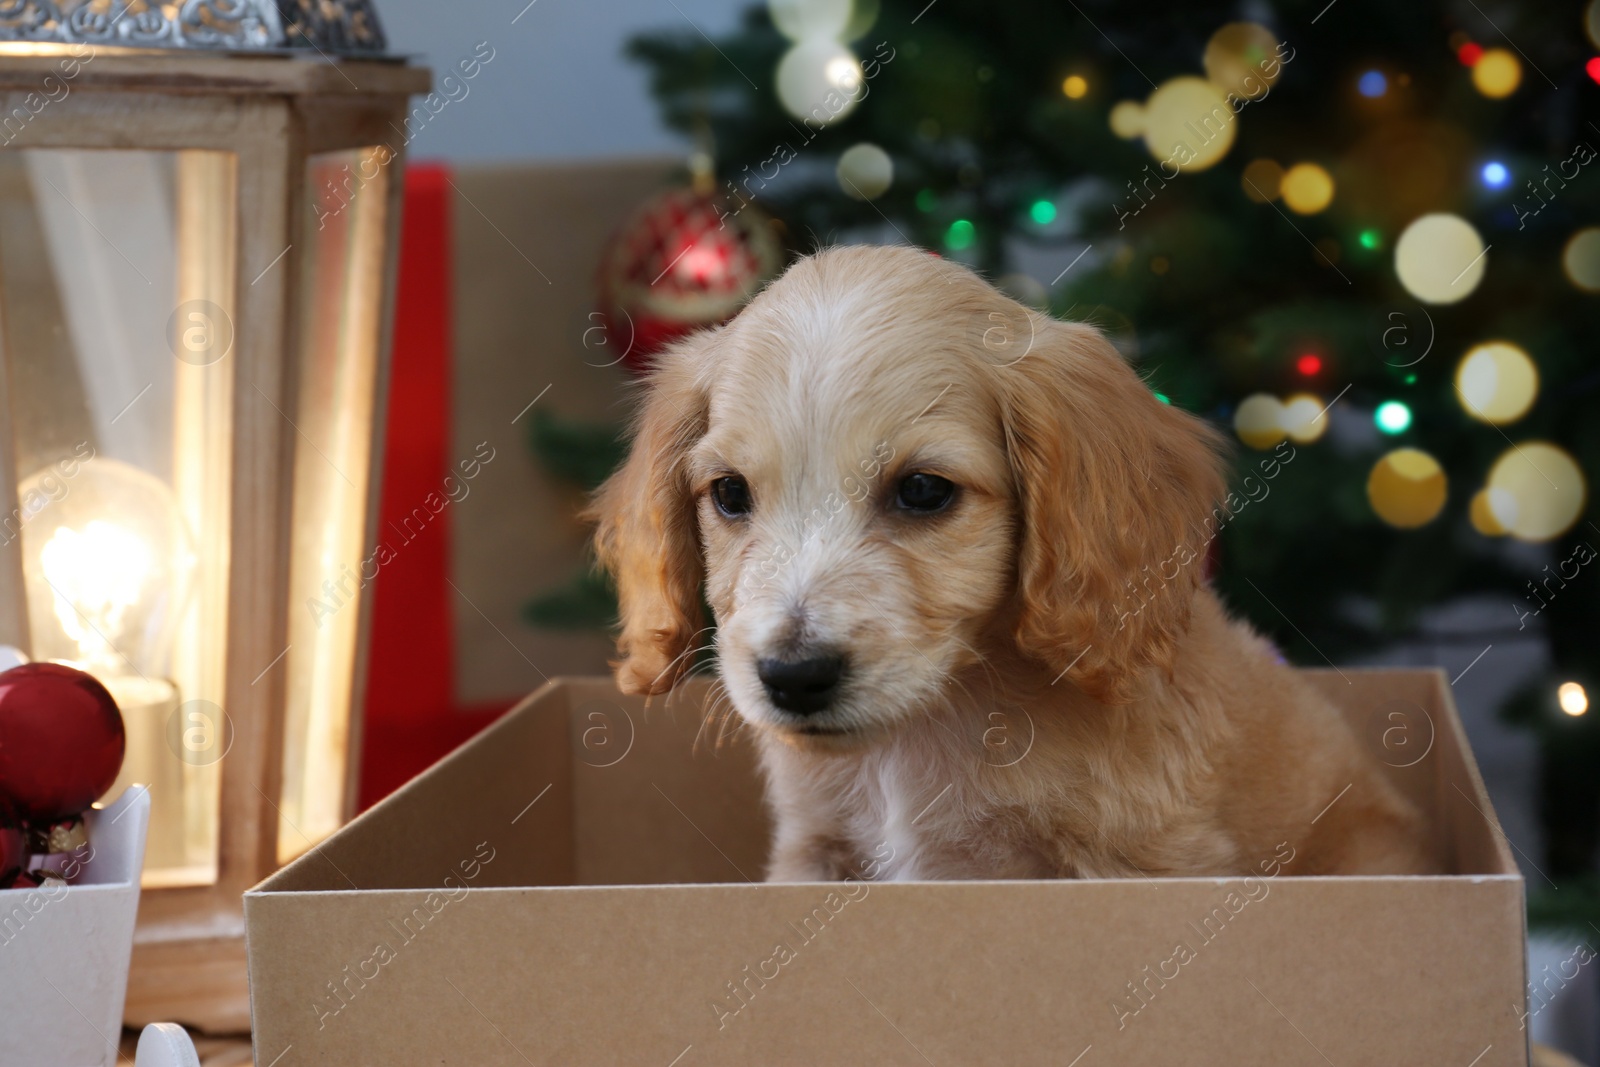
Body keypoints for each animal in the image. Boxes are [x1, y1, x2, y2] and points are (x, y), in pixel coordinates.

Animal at [592, 244, 1440, 883]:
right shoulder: (813, 851)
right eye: (730, 494)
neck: (926, 730)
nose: (792, 677)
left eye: (923, 490)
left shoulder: (1143, 860)